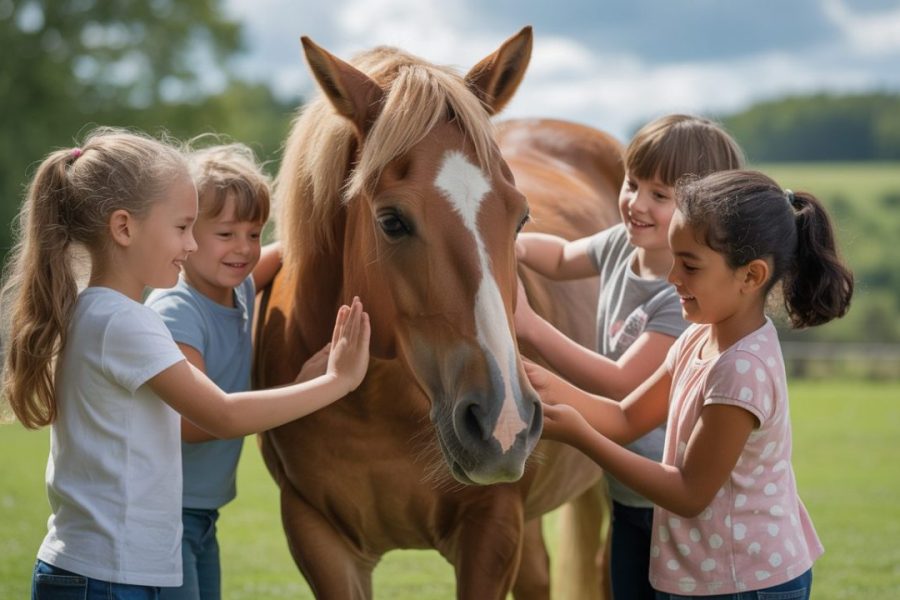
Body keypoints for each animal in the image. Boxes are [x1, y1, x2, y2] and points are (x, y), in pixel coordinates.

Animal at [254, 27, 624, 599]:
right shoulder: (318, 538)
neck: (376, 409)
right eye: (392, 221)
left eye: (521, 218)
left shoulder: (491, 532)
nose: (504, 422)